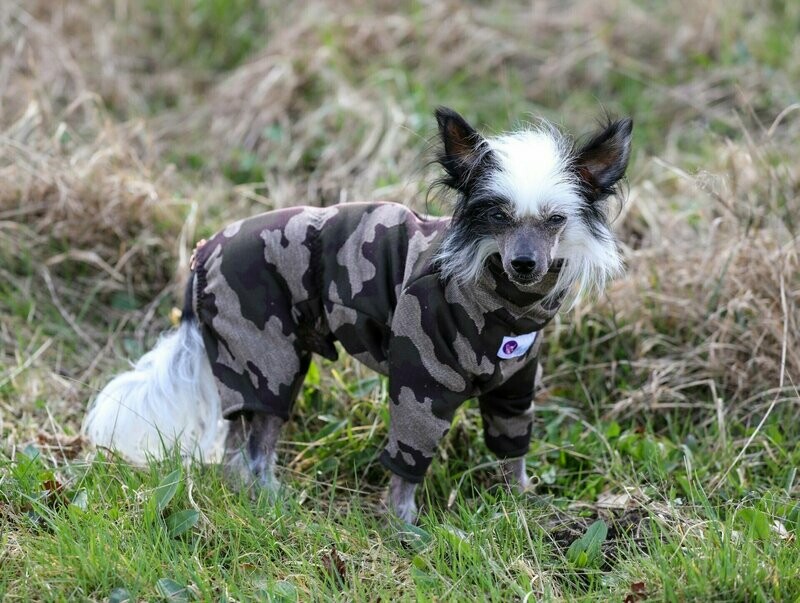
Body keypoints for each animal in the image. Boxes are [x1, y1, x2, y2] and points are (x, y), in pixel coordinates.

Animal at [81, 108, 632, 524]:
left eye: (555, 220)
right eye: (497, 215)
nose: (524, 263)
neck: (504, 304)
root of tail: (202, 253)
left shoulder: (514, 387)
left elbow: (513, 450)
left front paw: (521, 506)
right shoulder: (421, 384)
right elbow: (407, 465)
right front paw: (405, 529)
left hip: (274, 365)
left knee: (248, 451)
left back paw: (272, 504)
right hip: (263, 357)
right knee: (244, 453)